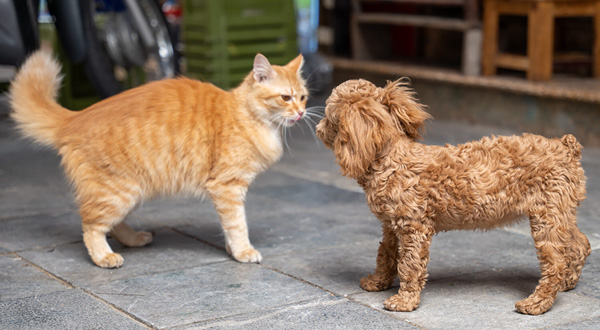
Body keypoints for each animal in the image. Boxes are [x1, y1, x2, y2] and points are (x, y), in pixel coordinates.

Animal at [9, 51, 310, 268]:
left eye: (304, 97)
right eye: (286, 98)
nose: (301, 113)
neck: (245, 115)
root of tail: (74, 118)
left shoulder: (227, 190)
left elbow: (229, 225)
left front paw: (231, 248)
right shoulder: (227, 186)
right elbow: (237, 224)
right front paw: (243, 251)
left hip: (132, 191)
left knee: (111, 225)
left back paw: (134, 239)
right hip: (119, 192)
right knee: (90, 225)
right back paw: (104, 257)